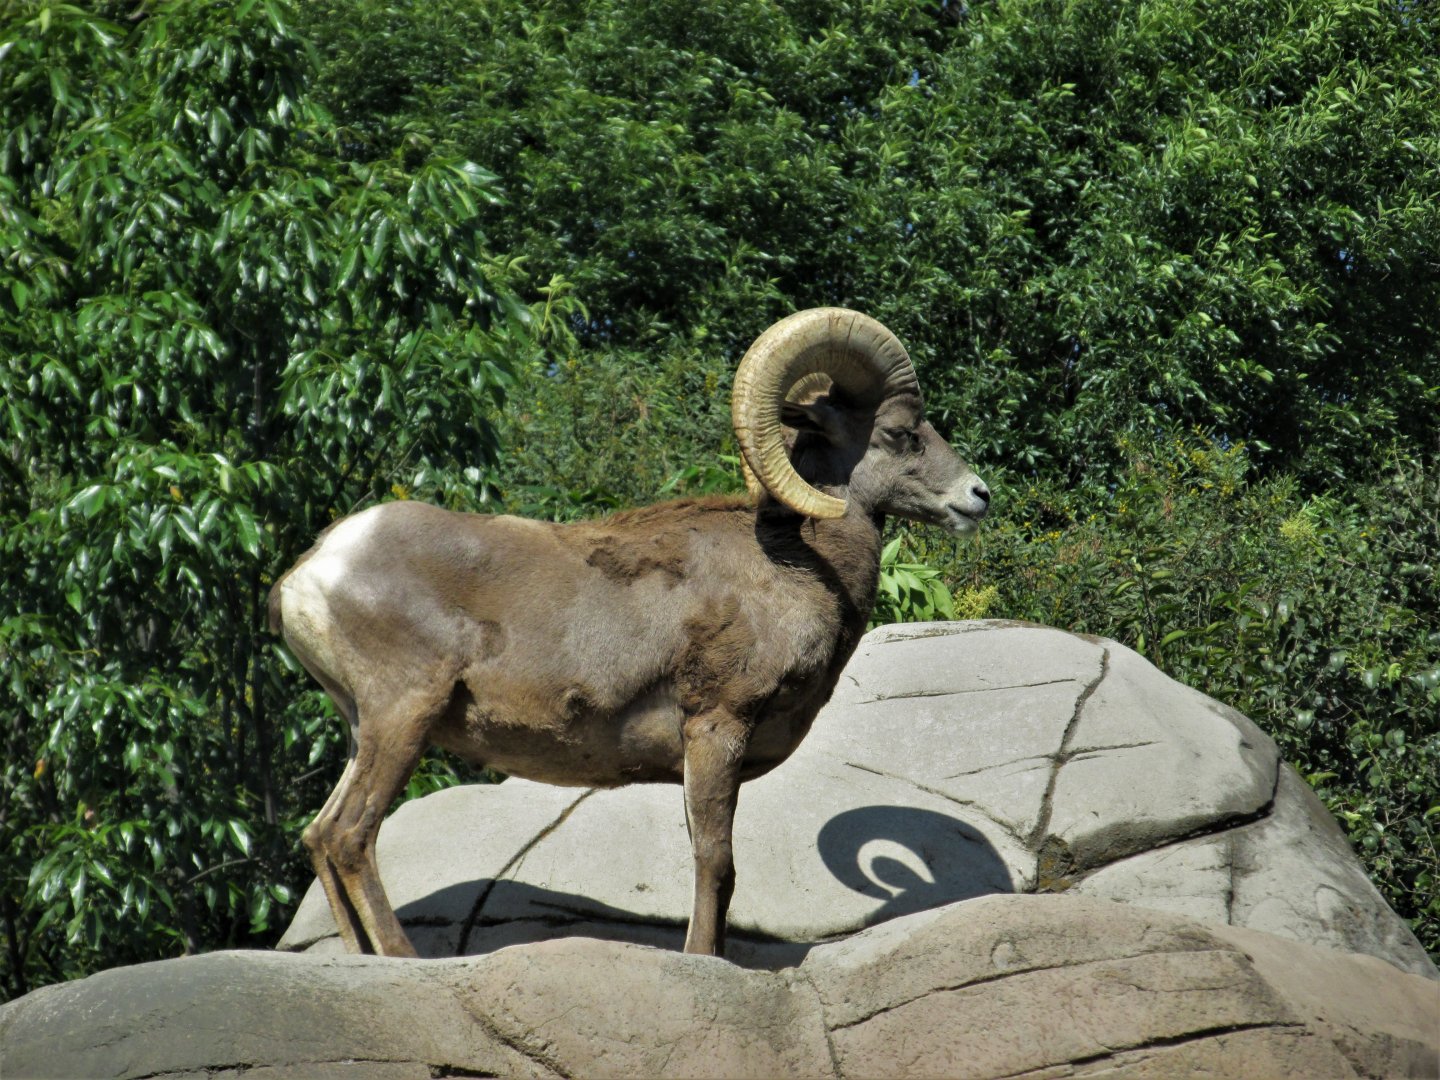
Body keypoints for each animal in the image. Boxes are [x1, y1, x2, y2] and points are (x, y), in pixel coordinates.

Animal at [268, 307, 990, 958]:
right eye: (899, 433)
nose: (978, 495)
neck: (797, 564)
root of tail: (315, 570)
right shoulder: (716, 726)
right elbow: (715, 863)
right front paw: (703, 962)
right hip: (402, 715)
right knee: (349, 835)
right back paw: (402, 959)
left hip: (364, 729)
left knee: (319, 835)